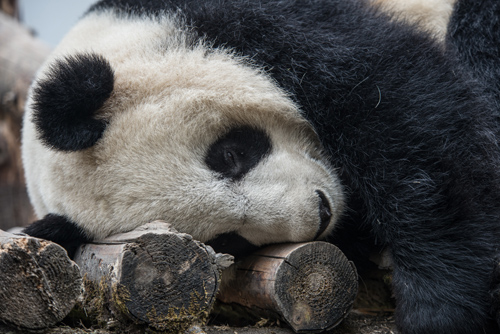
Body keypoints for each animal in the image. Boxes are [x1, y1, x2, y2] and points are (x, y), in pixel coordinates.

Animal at [21, 0, 500, 334]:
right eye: (226, 239)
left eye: (230, 155)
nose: (319, 214)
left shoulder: (267, 26)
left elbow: (401, 114)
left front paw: (437, 306)